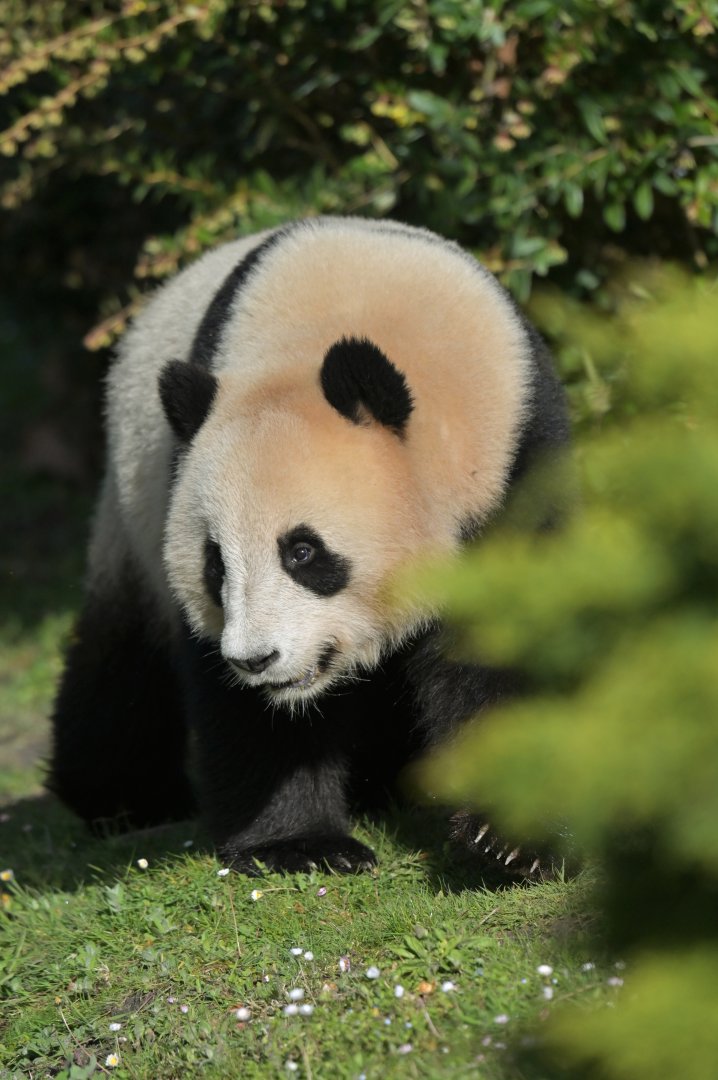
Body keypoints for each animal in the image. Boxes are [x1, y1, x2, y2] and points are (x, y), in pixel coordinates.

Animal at [48, 216, 569, 877]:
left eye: (303, 552)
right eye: (216, 564)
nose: (255, 660)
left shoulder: (516, 468)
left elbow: (506, 645)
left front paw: (508, 841)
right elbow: (249, 712)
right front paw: (299, 843)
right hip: (132, 507)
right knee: (122, 672)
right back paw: (125, 798)